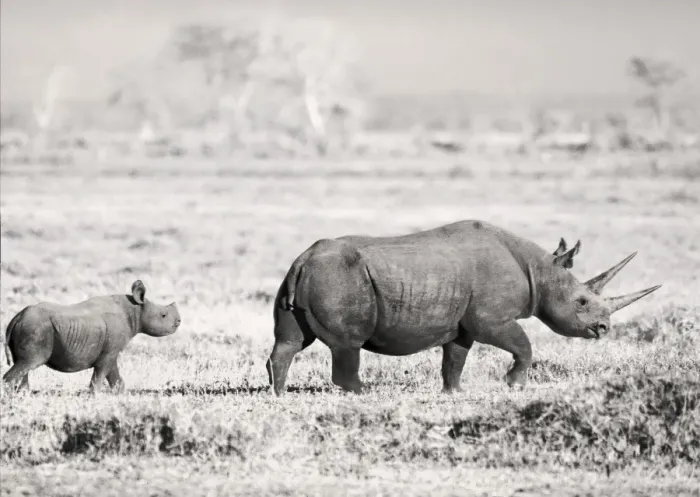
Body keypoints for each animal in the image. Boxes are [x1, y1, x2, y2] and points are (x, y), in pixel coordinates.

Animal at [3, 280, 181, 393]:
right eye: (163, 315)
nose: (179, 321)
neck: (135, 309)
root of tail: (17, 317)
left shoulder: (111, 353)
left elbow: (117, 380)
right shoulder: (108, 353)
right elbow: (98, 379)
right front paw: (95, 397)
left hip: (29, 327)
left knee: (24, 366)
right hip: (36, 329)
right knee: (30, 362)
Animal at [266, 220, 661, 395]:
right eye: (581, 302)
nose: (603, 329)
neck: (541, 271)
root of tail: (303, 261)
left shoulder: (463, 323)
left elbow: (455, 358)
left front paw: (454, 392)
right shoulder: (491, 319)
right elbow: (524, 345)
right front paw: (514, 384)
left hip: (308, 273)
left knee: (290, 341)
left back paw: (279, 393)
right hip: (339, 277)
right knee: (348, 344)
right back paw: (364, 392)